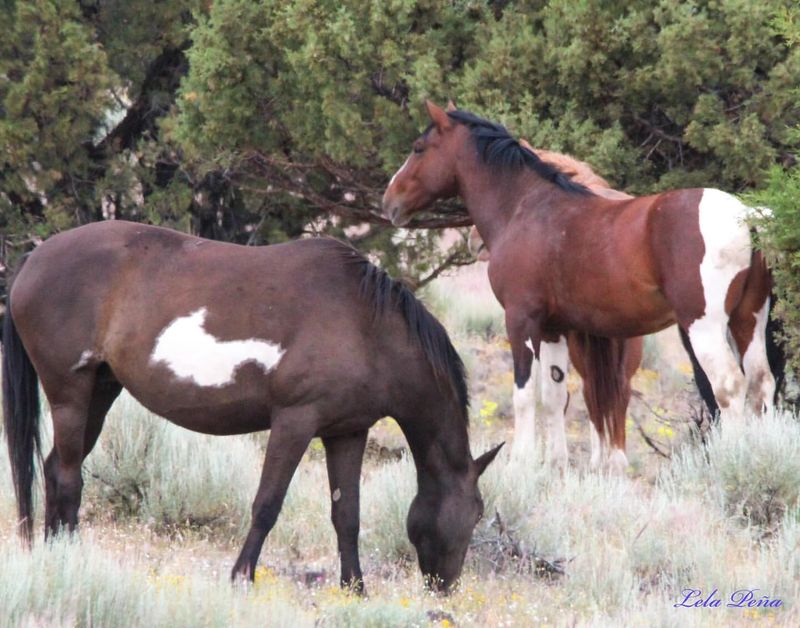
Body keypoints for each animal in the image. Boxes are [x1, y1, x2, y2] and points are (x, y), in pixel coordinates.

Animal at [1, 221, 500, 592]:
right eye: (475, 512)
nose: (444, 587)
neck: (366, 325)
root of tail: (33, 259)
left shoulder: (346, 432)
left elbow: (347, 514)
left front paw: (355, 589)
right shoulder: (295, 422)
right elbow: (267, 504)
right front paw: (241, 577)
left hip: (100, 392)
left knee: (53, 469)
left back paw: (54, 554)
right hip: (69, 392)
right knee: (68, 477)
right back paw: (69, 559)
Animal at [382, 102, 776, 436]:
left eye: (419, 148)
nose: (390, 201)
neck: (525, 206)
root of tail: (747, 215)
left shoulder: (520, 320)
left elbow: (524, 397)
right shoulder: (554, 329)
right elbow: (555, 399)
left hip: (703, 327)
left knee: (729, 388)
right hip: (748, 320)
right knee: (762, 384)